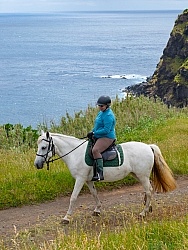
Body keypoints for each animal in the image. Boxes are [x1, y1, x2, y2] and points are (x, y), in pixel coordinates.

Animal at [34, 132, 177, 224]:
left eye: (44, 147)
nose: (37, 164)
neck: (75, 153)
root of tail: (148, 146)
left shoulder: (80, 179)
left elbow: (73, 197)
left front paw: (66, 217)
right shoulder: (88, 180)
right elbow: (94, 194)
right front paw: (97, 210)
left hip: (142, 175)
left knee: (149, 190)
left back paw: (143, 212)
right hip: (139, 175)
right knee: (148, 190)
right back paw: (148, 208)